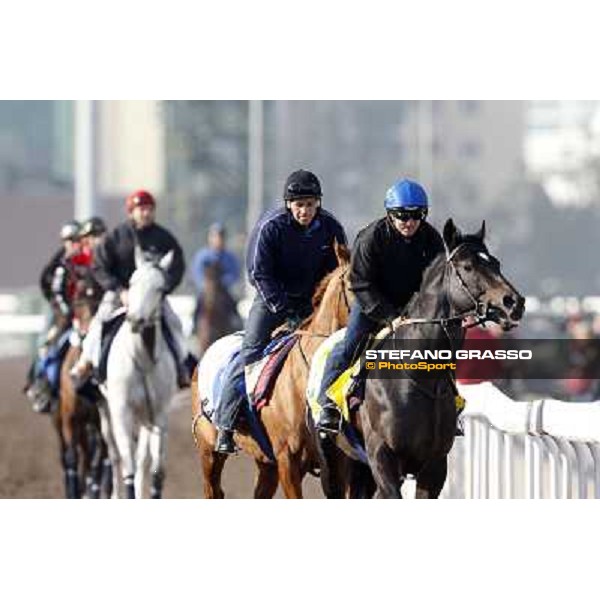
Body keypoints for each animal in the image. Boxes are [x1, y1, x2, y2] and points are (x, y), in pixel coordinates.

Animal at [102, 246, 178, 500]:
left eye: (161, 289)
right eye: (132, 282)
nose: (136, 320)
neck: (142, 359)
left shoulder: (159, 414)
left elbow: (156, 469)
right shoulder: (122, 412)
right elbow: (127, 464)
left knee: (143, 459)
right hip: (106, 410)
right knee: (114, 455)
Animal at [342, 219, 524, 496]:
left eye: (496, 263)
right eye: (468, 266)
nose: (514, 302)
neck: (420, 378)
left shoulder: (435, 464)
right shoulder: (381, 456)